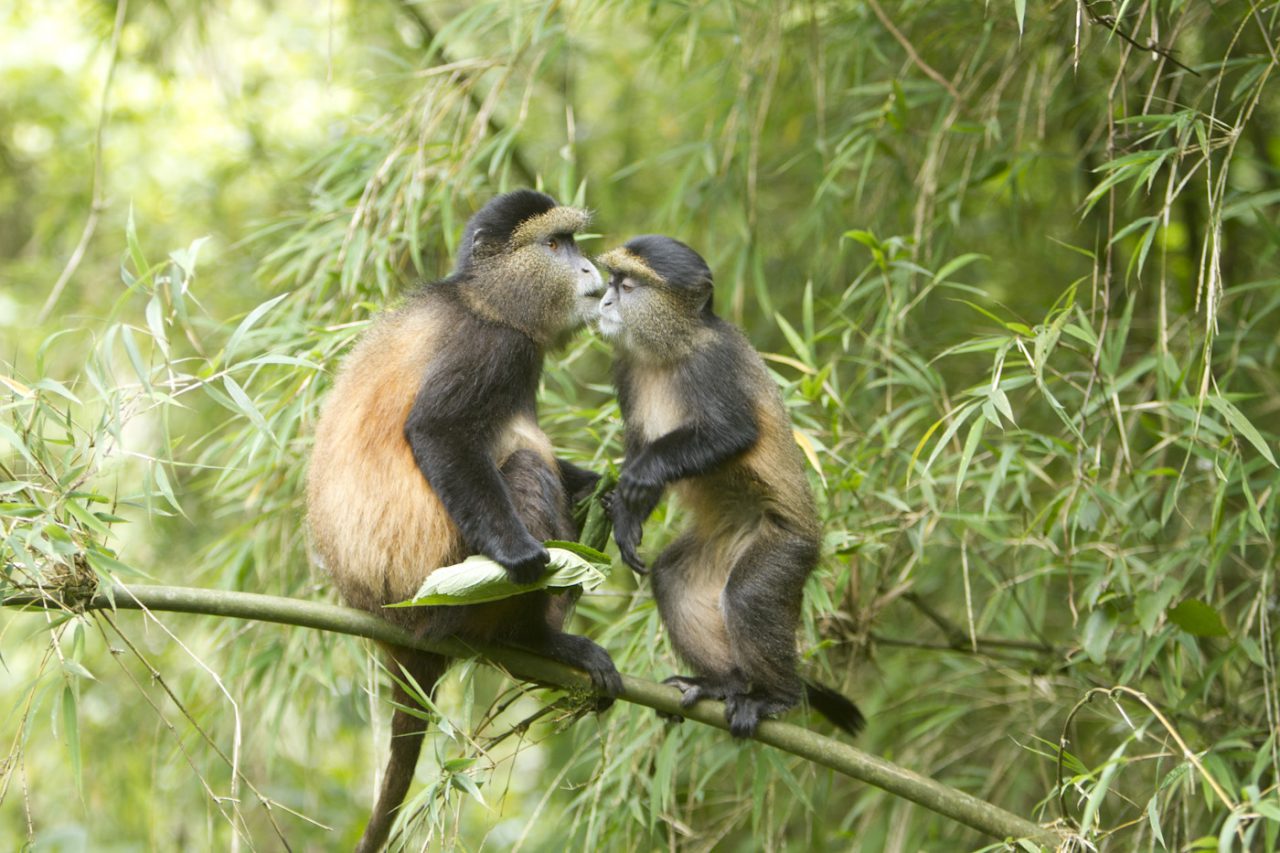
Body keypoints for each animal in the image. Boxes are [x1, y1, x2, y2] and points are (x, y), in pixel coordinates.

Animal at [311, 189, 629, 845]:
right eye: (555, 245)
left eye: (572, 242)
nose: (591, 270)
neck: (483, 299)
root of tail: (382, 619)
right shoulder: (492, 346)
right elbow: (439, 431)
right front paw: (522, 556)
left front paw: (607, 490)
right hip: (443, 593)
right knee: (526, 467)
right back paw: (537, 639)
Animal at [596, 234, 860, 737]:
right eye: (612, 280)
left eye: (627, 285)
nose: (602, 301)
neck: (671, 349)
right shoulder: (625, 370)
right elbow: (638, 445)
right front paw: (625, 515)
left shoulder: (713, 364)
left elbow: (733, 432)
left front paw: (640, 479)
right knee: (672, 577)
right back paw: (724, 684)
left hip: (784, 547)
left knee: (748, 596)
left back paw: (776, 696)